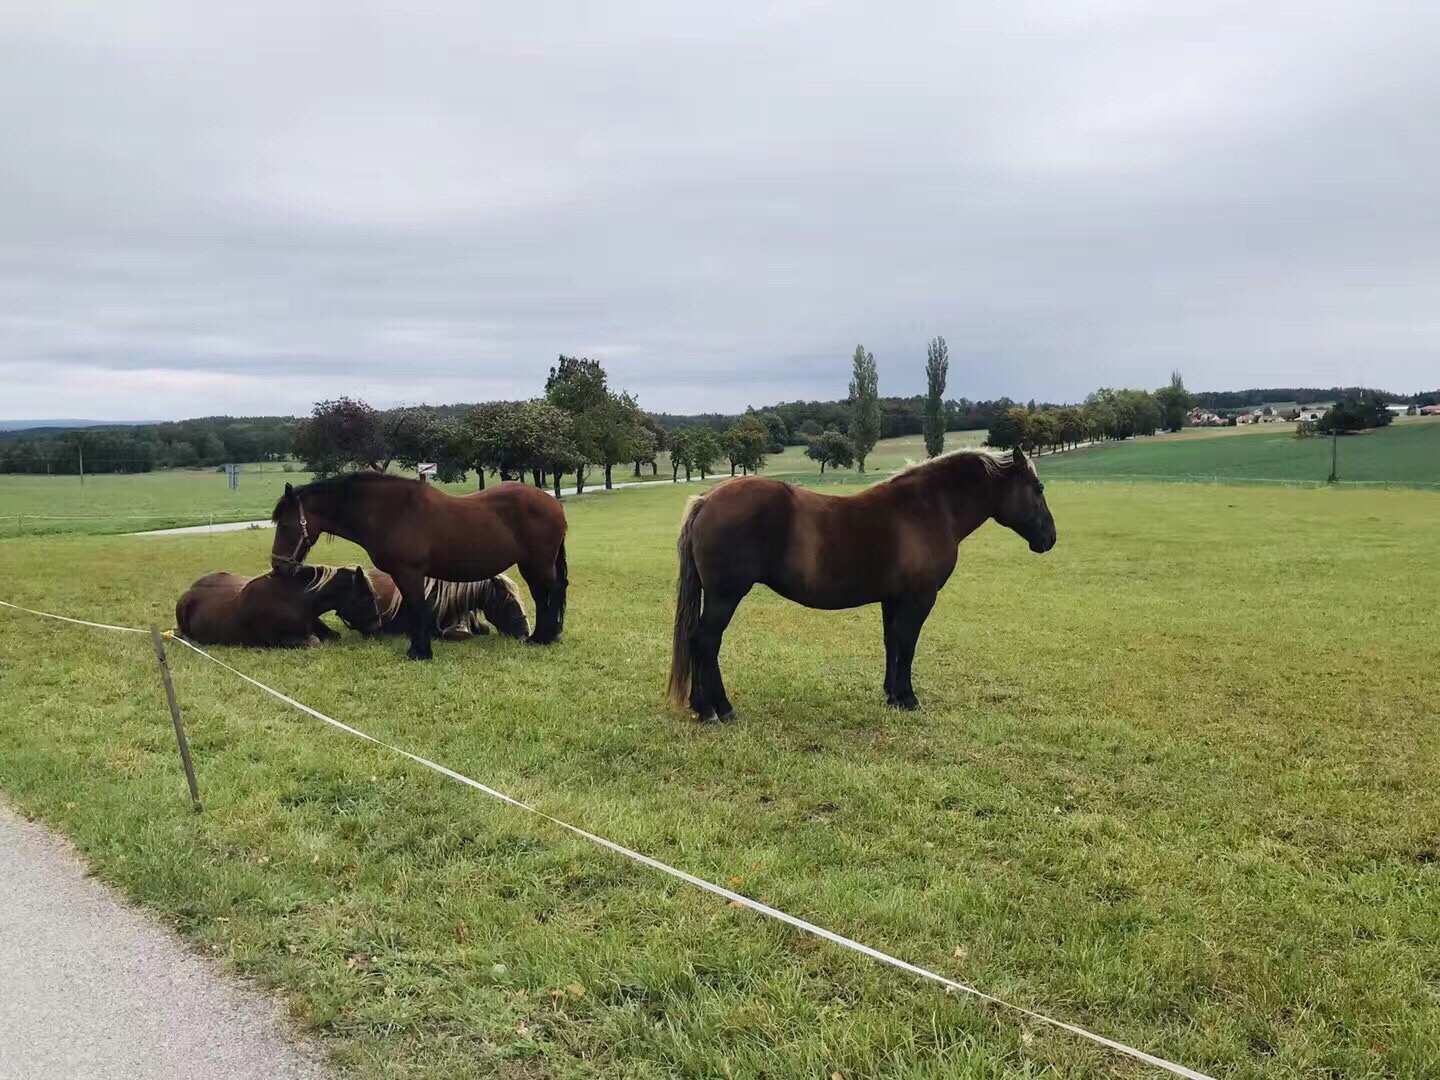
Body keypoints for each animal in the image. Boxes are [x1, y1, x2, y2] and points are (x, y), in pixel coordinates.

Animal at [174, 567, 380, 650]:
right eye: (367, 597)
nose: (377, 626)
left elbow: (333, 636)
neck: (297, 600)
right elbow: (315, 642)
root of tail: (187, 593)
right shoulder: (278, 640)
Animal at [665, 449, 1059, 728]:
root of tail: (707, 500)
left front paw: (891, 696)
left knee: (700, 642)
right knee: (705, 642)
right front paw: (908, 698)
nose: (1050, 538)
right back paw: (717, 710)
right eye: (1038, 489)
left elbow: (893, 644)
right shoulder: (919, 600)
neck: (927, 509)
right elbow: (908, 645)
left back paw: (704, 708)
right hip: (725, 596)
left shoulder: (893, 600)